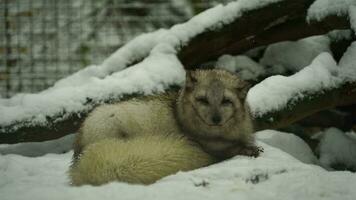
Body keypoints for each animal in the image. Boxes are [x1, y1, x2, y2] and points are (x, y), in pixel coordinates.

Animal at [69, 69, 258, 186]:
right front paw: (246, 149)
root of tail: (79, 156)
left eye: (226, 101)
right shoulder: (207, 146)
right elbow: (228, 150)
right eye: (203, 100)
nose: (216, 119)